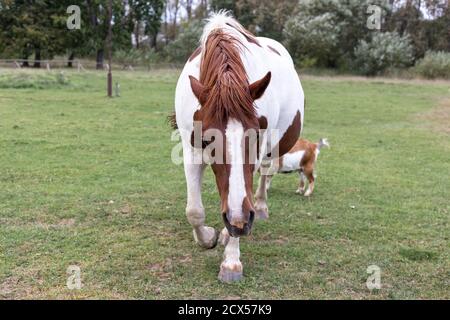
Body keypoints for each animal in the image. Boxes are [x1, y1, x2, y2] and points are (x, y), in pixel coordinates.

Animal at [174, 11, 304, 282]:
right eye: (207, 140)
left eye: (255, 135)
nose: (238, 223)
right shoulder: (191, 150)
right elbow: (194, 210)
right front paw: (208, 237)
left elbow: (242, 202)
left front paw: (231, 261)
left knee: (265, 175)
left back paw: (260, 207)